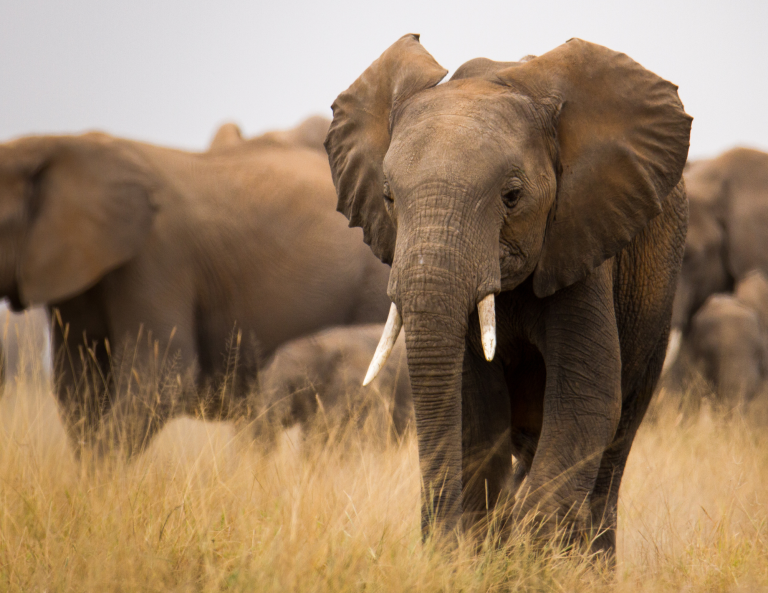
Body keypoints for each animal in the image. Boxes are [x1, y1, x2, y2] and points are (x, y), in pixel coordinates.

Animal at [325, 35, 691, 555]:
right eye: (389, 198)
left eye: (512, 196)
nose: (431, 538)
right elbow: (477, 411)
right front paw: (488, 554)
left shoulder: (582, 240)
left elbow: (586, 401)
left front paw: (528, 557)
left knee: (614, 449)